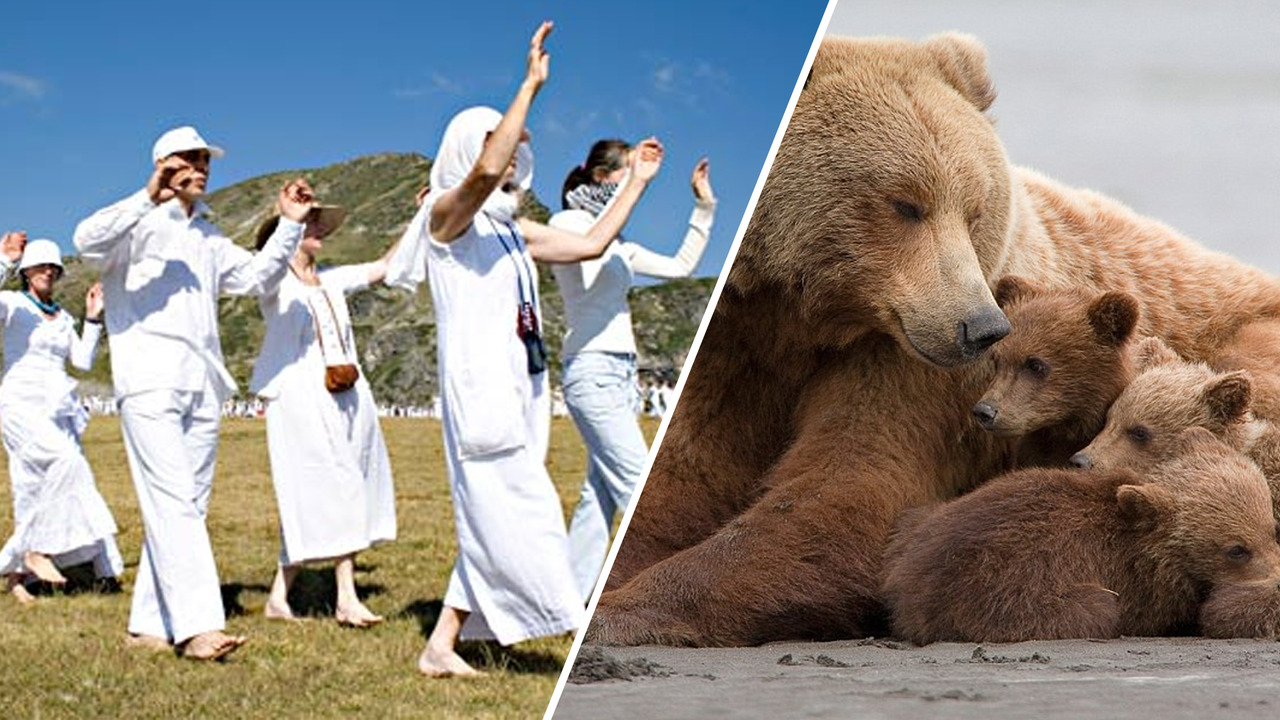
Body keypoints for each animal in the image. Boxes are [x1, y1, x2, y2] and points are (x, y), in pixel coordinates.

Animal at [885, 427, 1280, 640]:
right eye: (1237, 549)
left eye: (1272, 528)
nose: (1277, 574)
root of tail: (908, 594)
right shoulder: (1139, 584)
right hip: (1000, 589)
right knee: (1096, 607)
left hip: (921, 521)